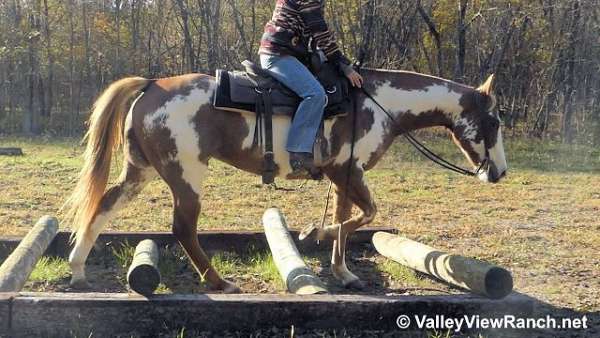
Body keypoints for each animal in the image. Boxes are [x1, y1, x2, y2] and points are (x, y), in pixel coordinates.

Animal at [64, 67, 506, 292]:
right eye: (494, 121)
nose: (499, 172)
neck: (379, 104)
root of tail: (153, 85)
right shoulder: (349, 172)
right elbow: (364, 215)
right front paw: (314, 232)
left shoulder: (343, 176)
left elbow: (348, 220)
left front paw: (343, 272)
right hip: (186, 174)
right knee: (183, 229)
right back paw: (220, 282)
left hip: (141, 170)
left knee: (104, 205)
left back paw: (78, 268)